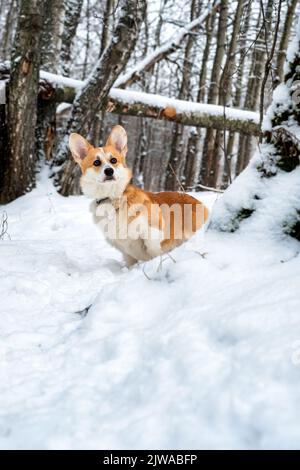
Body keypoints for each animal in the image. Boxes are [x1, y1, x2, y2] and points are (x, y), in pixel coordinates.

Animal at [69, 125, 209, 266]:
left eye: (113, 160)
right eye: (96, 163)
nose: (109, 171)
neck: (113, 198)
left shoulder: (152, 233)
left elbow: (154, 251)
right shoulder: (126, 251)